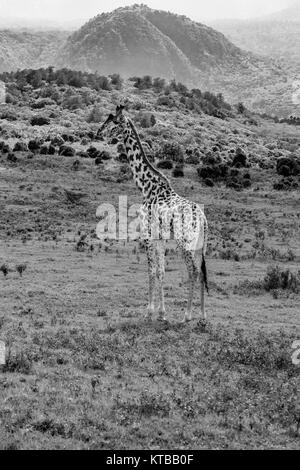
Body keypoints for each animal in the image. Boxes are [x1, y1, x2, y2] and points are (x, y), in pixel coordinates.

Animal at [98, 105, 209, 326]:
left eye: (114, 123)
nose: (98, 132)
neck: (146, 187)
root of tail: (203, 219)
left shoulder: (148, 235)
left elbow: (151, 271)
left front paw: (149, 312)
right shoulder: (160, 237)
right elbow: (161, 271)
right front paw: (161, 313)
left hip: (185, 241)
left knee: (192, 271)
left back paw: (187, 315)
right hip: (201, 245)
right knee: (201, 272)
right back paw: (202, 315)